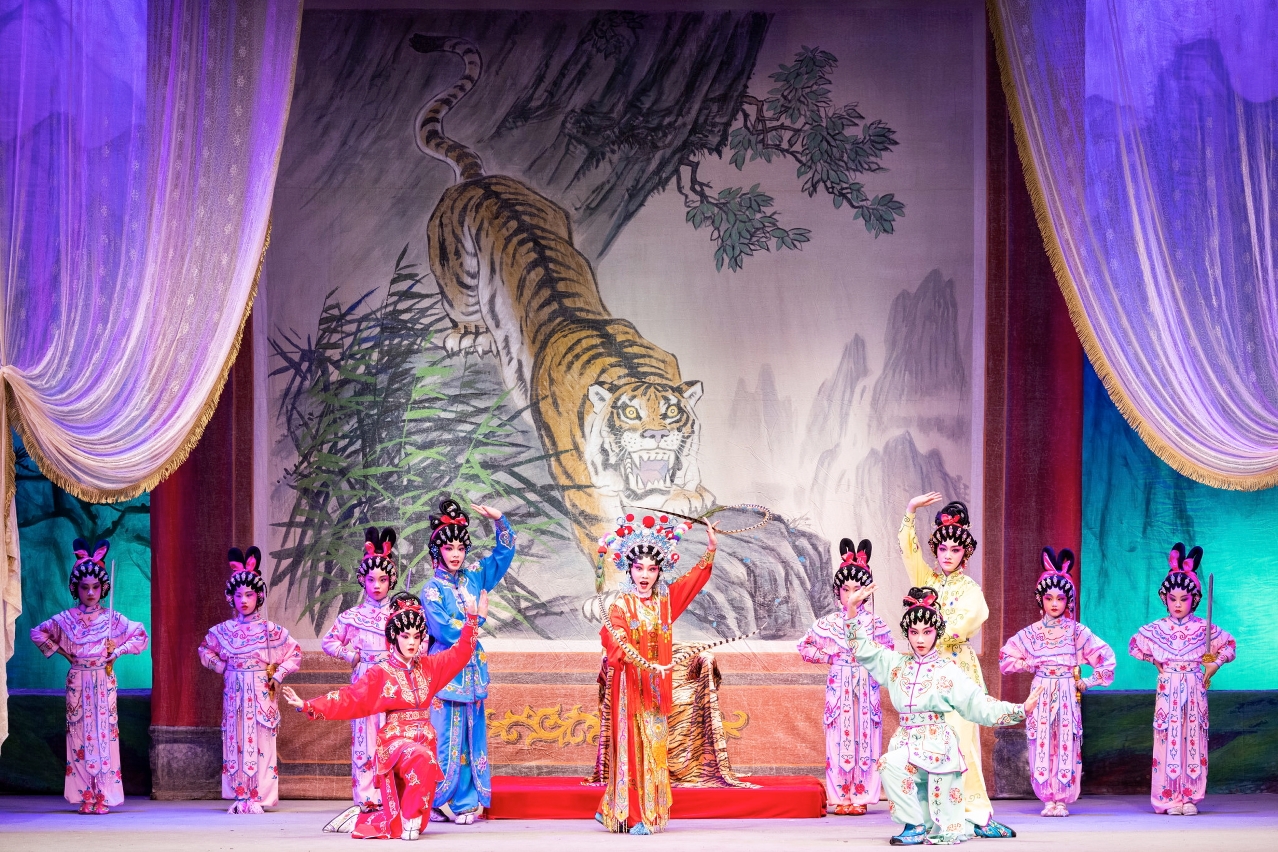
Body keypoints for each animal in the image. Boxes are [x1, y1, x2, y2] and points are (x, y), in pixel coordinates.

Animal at [410, 35, 714, 589]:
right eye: (629, 415)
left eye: (673, 414)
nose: (655, 436)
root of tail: (479, 180)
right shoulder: (576, 478)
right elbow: (599, 529)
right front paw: (611, 591)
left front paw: (692, 492)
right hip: (457, 276)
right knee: (458, 306)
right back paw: (467, 335)